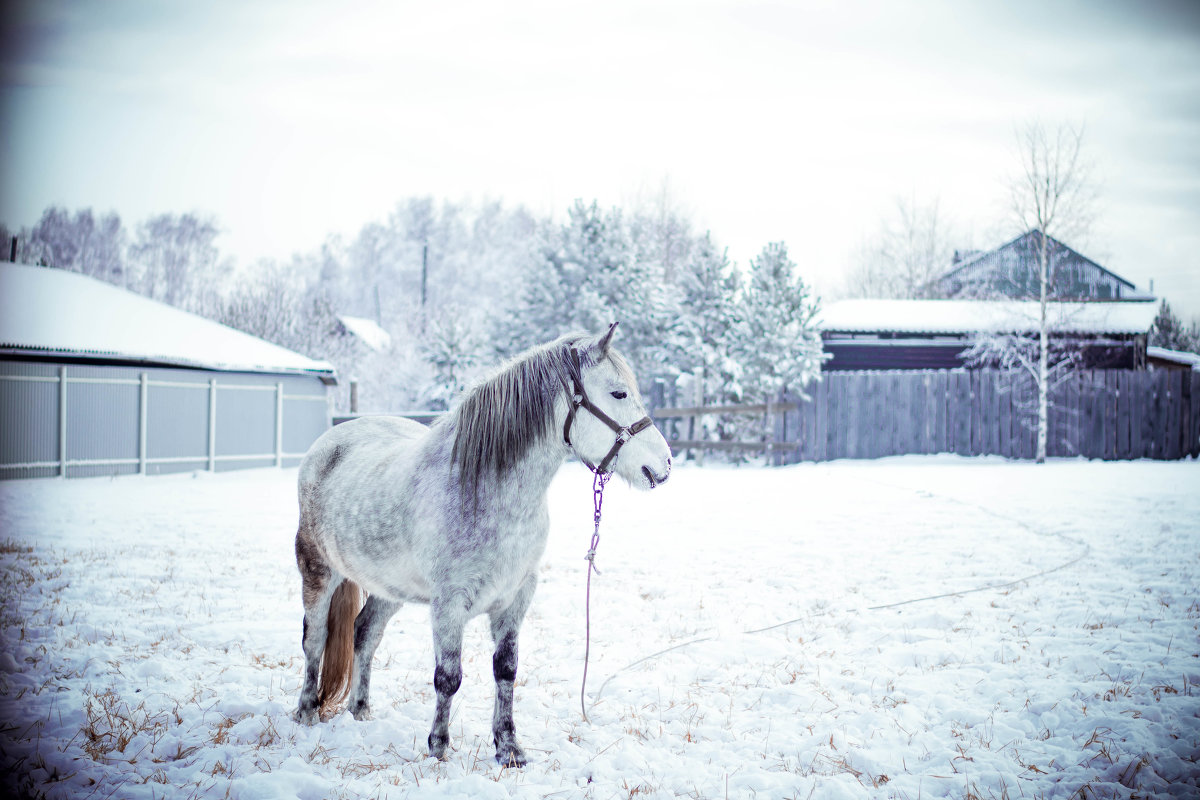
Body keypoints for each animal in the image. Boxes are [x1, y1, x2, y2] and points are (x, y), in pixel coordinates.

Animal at [286, 326, 672, 767]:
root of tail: (329, 442)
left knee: (364, 634)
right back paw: (306, 711)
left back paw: (361, 710)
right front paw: (438, 747)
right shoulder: (449, 604)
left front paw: (508, 748)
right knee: (314, 638)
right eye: (618, 393)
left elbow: (506, 671)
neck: (483, 490)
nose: (663, 465)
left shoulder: (515, 598)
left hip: (389, 588)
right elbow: (448, 678)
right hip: (317, 571)